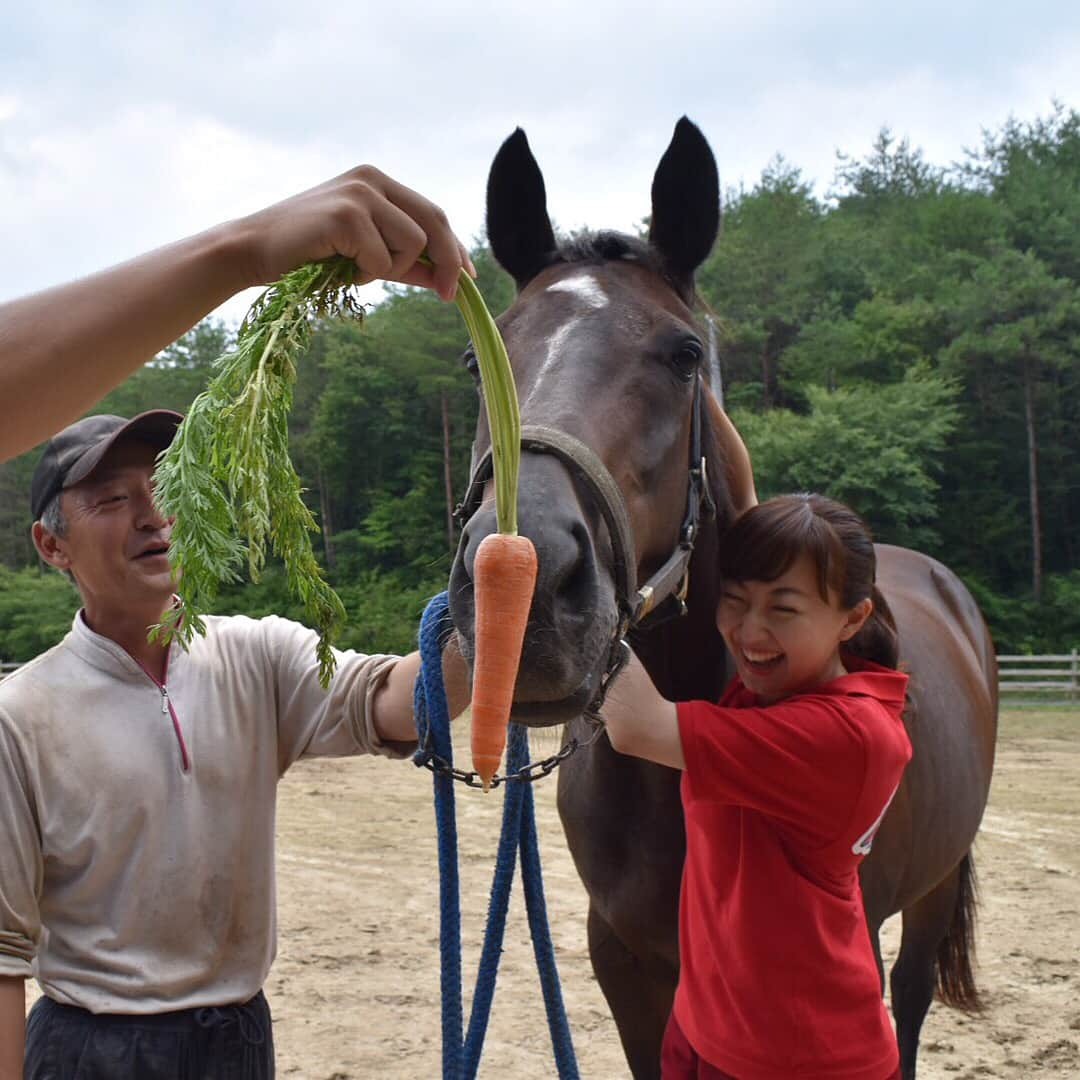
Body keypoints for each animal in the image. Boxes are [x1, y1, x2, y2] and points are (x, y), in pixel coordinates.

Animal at [444, 118, 993, 1080]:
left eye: (685, 354)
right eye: (482, 359)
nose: (534, 589)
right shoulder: (625, 960)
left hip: (930, 891)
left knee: (912, 999)